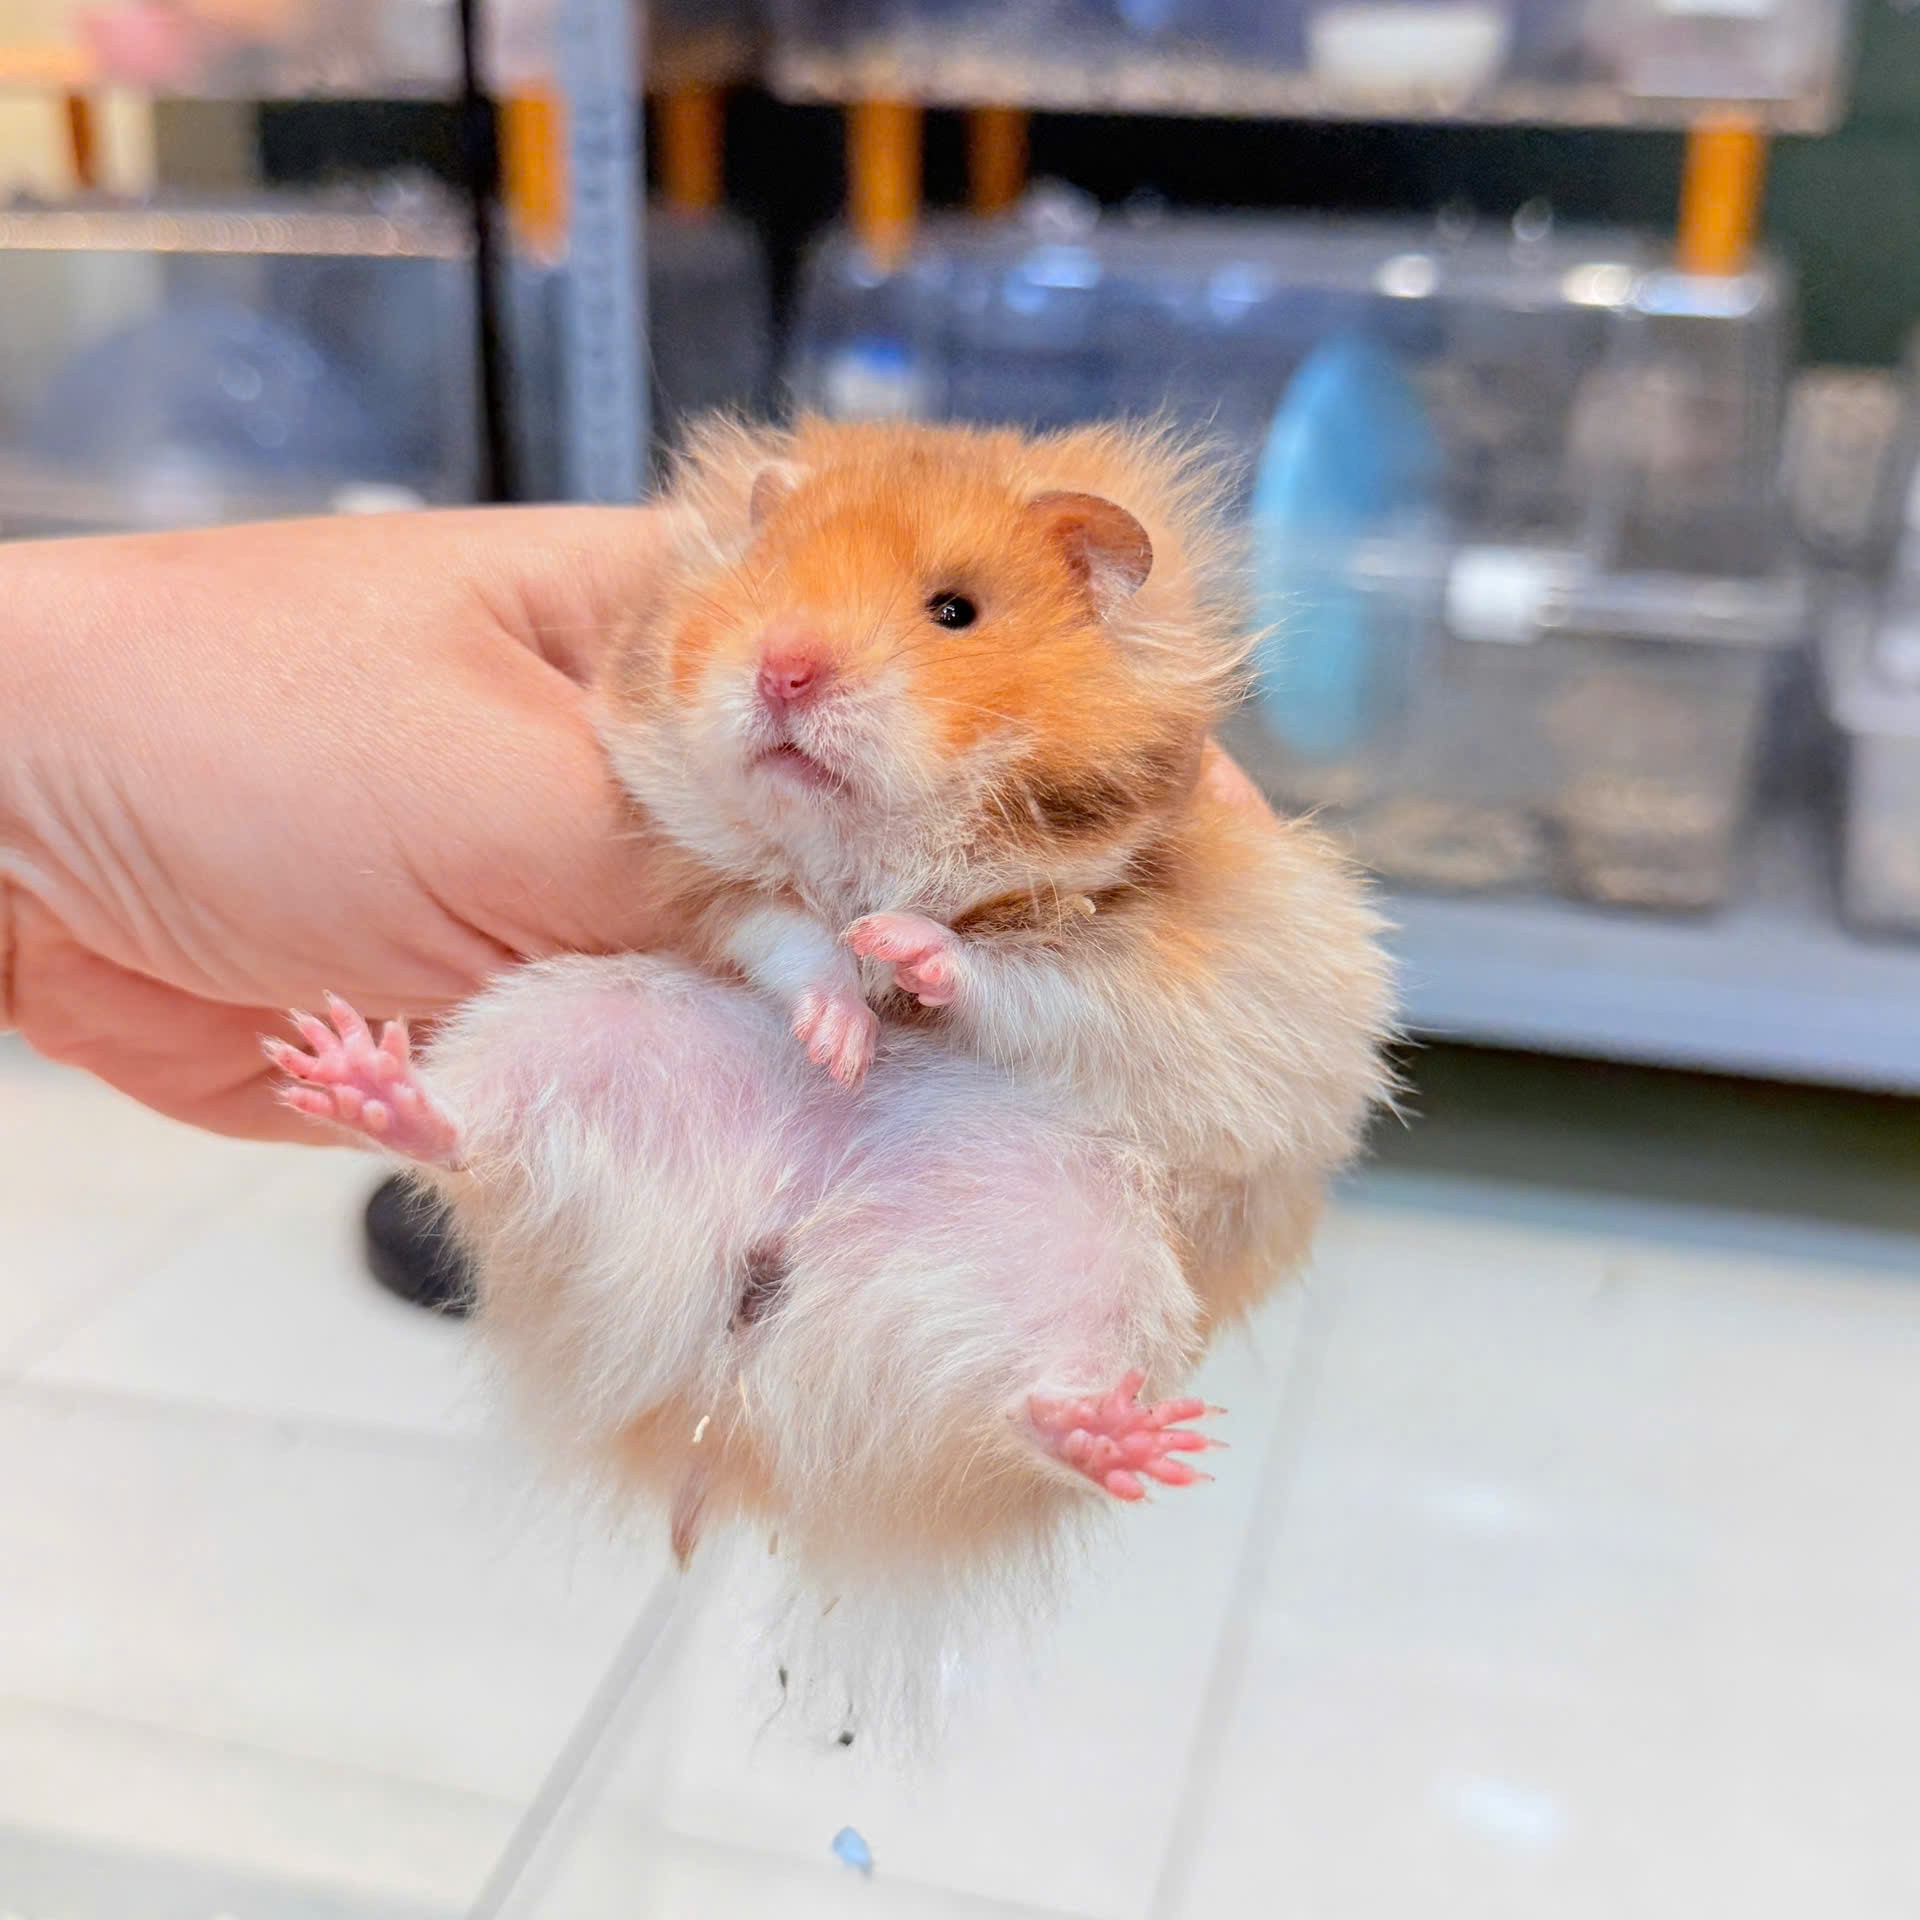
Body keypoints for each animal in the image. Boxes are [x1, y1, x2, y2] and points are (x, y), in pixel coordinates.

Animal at [270, 417, 1394, 1726]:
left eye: (955, 611)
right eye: (765, 579)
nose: (784, 670)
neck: (878, 844)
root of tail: (738, 1390)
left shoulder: (1148, 941)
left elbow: (1007, 970)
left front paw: (899, 954)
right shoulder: (712, 880)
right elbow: (793, 934)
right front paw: (840, 1038)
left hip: (1097, 1271)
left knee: (1022, 1410)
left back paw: (1119, 1439)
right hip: (560, 1031)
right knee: (469, 1142)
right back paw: (353, 1079)